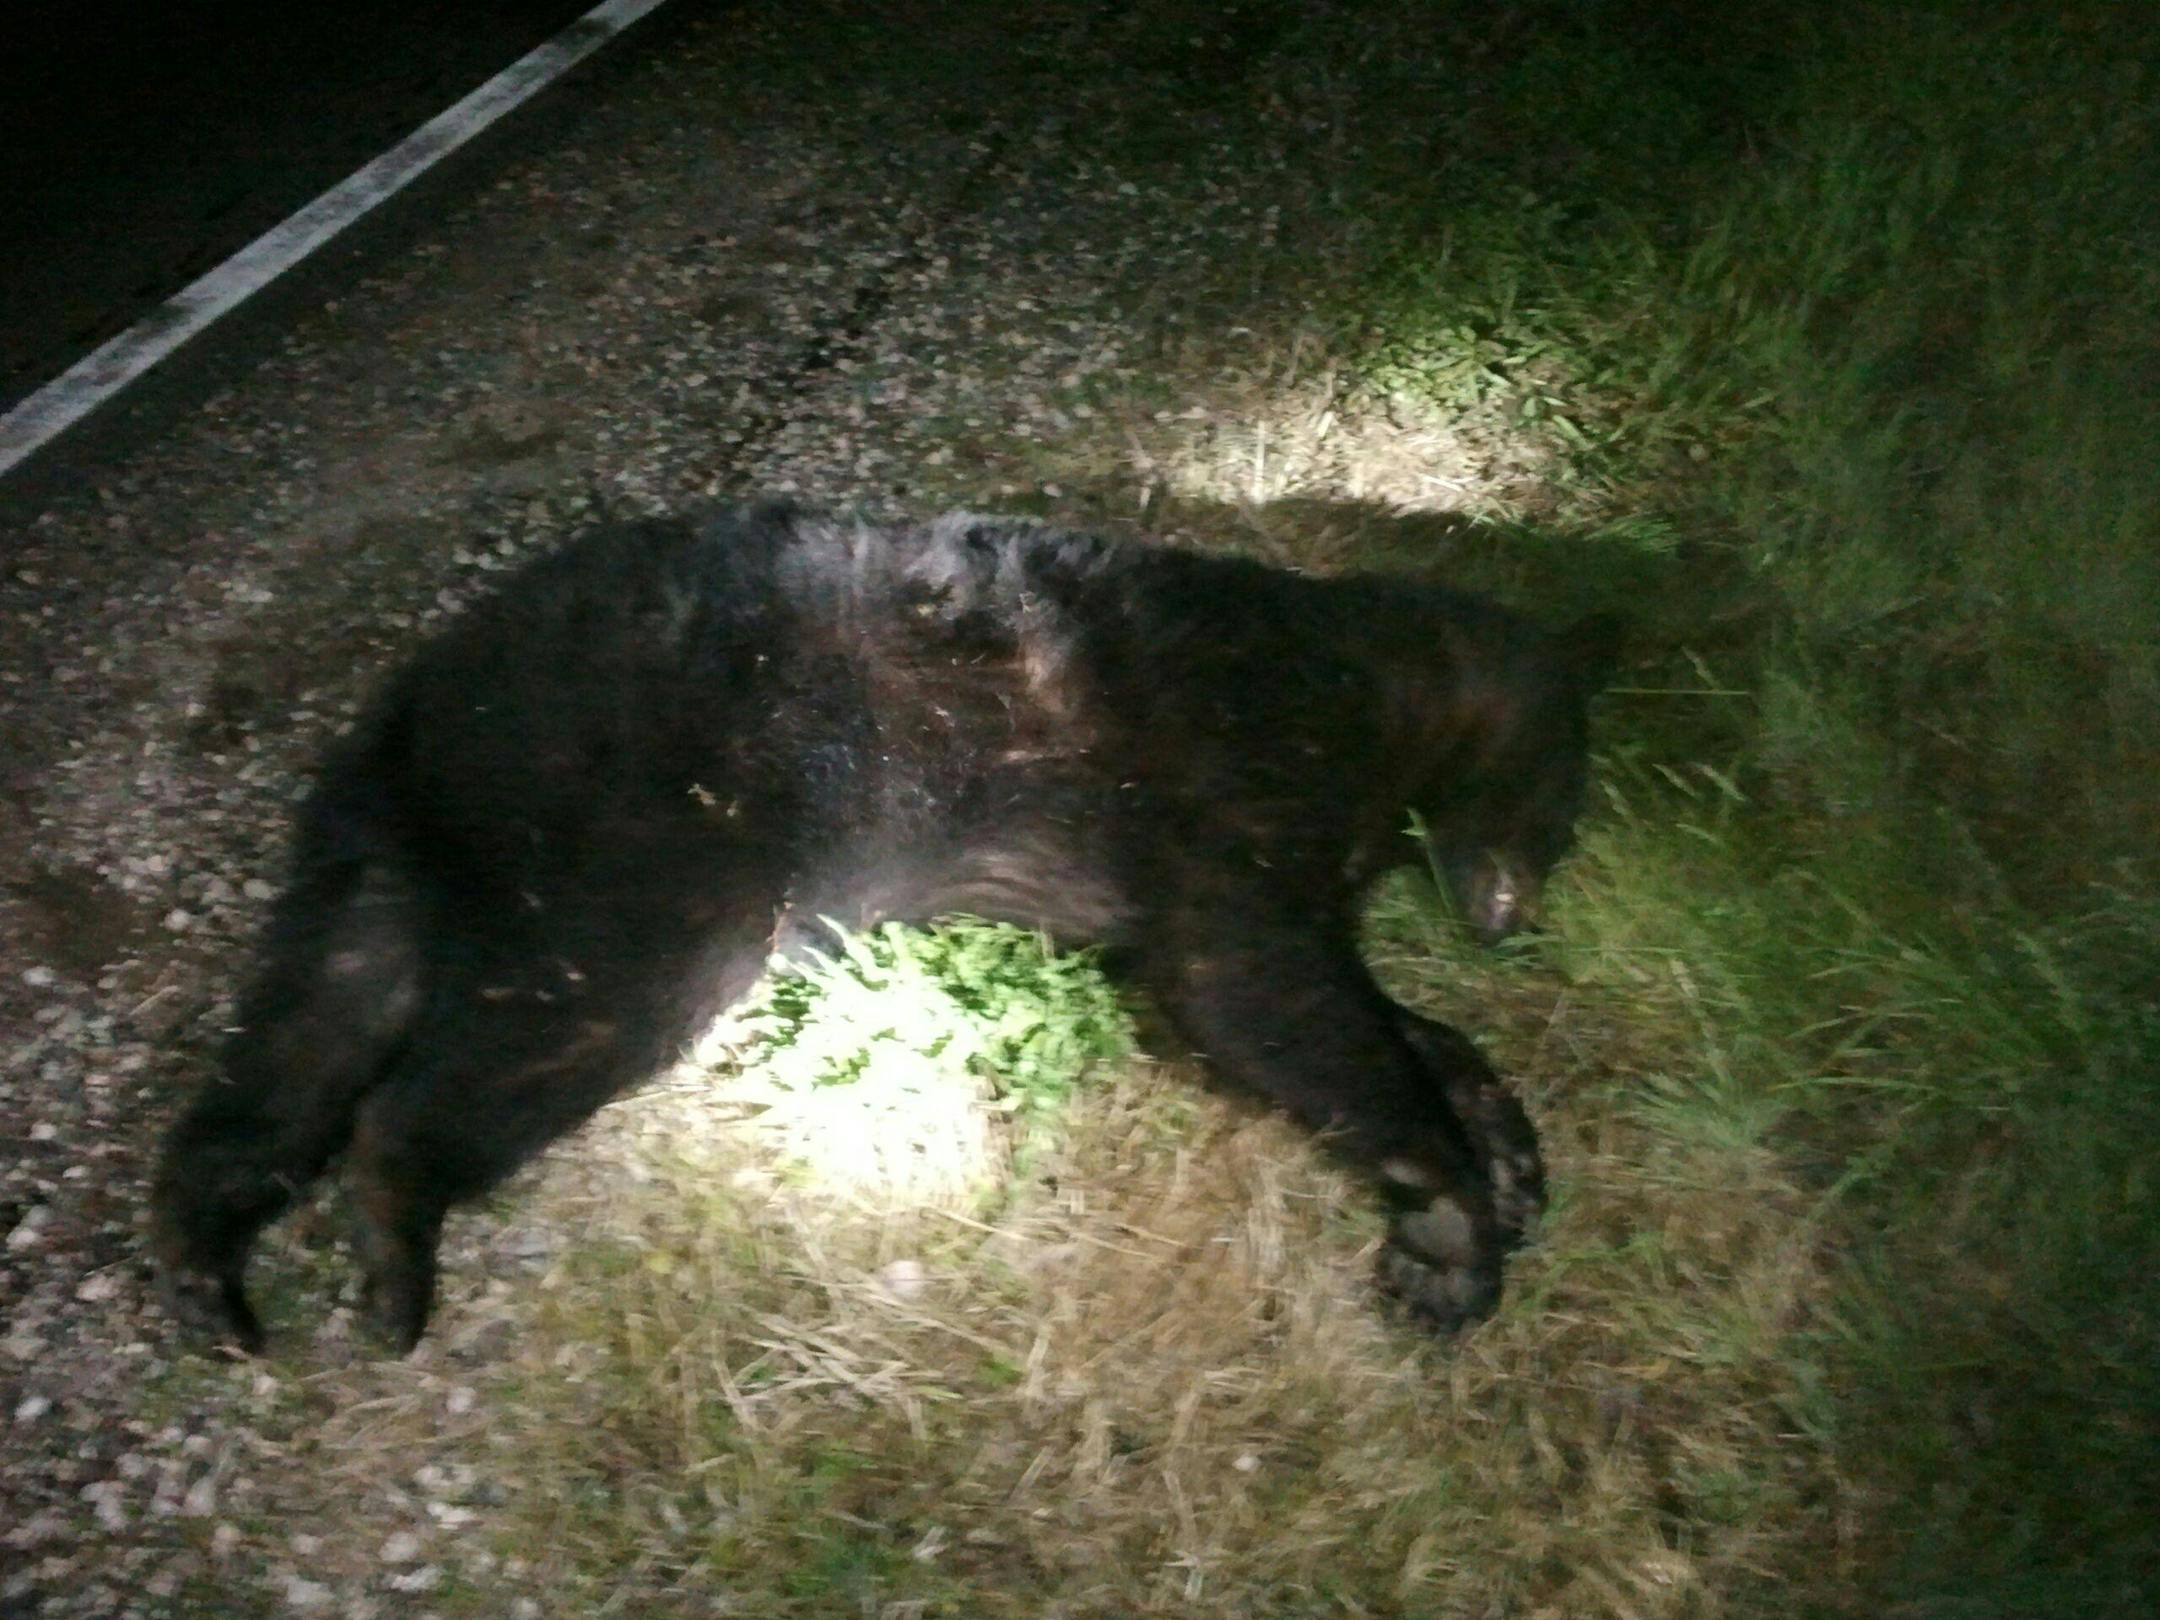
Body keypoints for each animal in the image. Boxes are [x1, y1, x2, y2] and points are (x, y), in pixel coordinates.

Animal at [151, 502, 1616, 1353]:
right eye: (1568, 806)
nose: (1514, 917)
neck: (1370, 688)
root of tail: (417, 709)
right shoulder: (1239, 766)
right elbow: (1259, 984)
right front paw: (1451, 1222)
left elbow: (1311, 1001)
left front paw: (1502, 1137)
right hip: (640, 825)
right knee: (530, 1023)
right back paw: (392, 1243)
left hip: (399, 849)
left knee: (312, 1016)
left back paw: (207, 1265)